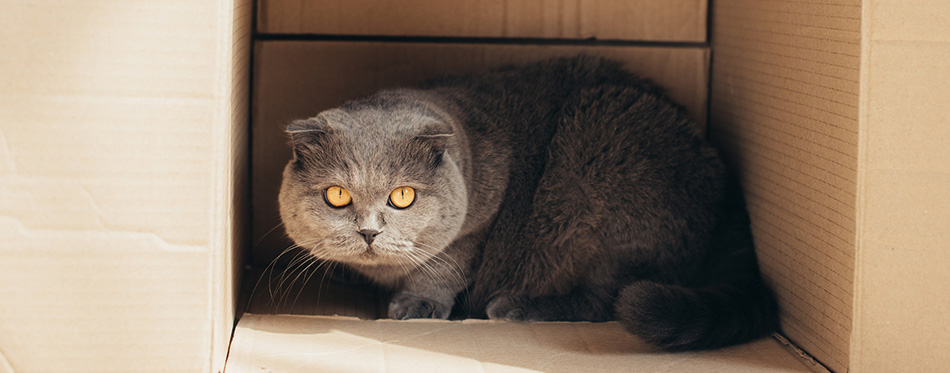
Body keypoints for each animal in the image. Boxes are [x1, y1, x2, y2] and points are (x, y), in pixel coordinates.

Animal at [278, 55, 780, 348]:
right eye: (337, 195)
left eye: (402, 196)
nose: (368, 231)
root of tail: (726, 190)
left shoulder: (481, 217)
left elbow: (447, 263)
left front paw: (418, 303)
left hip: (599, 152)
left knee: (610, 298)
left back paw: (516, 307)